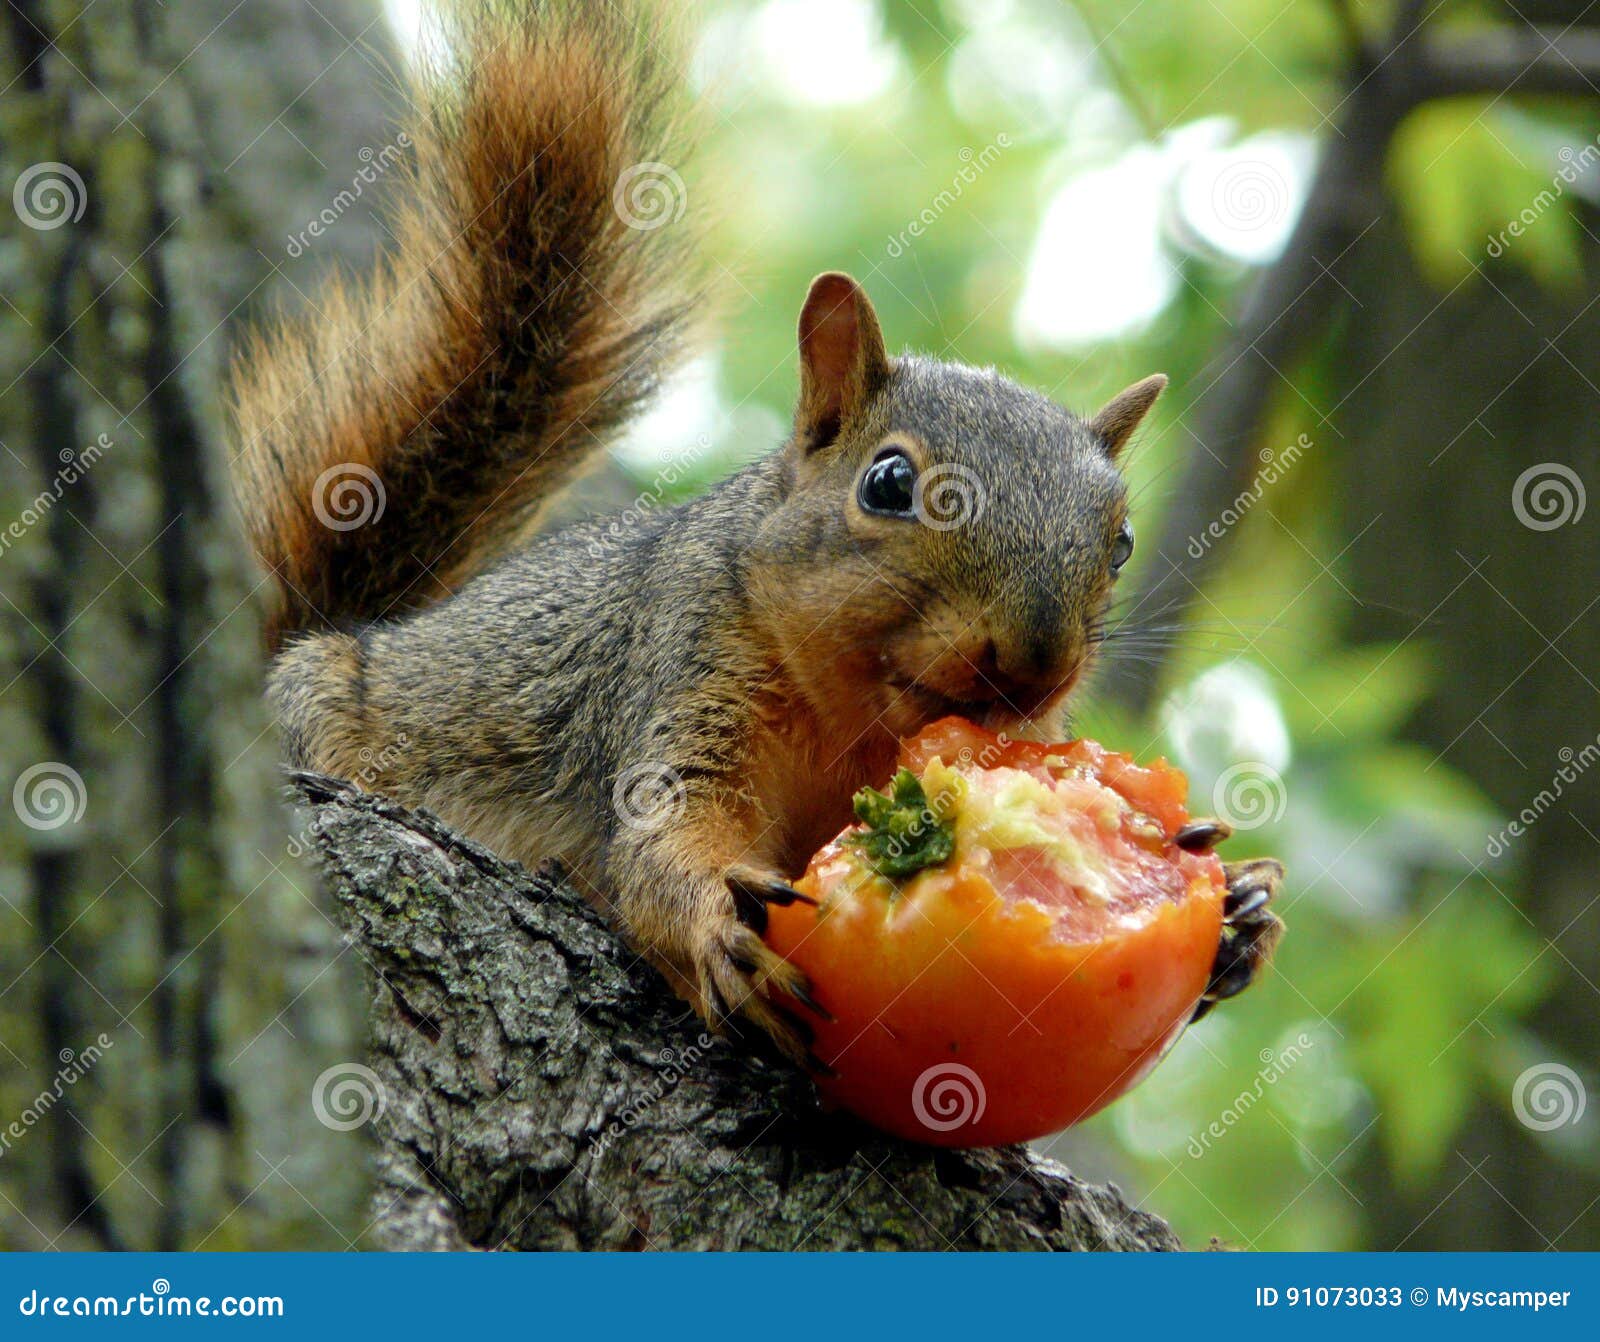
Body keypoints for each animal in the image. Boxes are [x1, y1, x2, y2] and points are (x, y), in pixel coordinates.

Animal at [231, 2, 1283, 1062]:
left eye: (1122, 543)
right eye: (889, 483)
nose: (1035, 663)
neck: (852, 728)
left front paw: (1240, 909)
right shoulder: (683, 668)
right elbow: (664, 822)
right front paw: (716, 920)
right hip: (320, 703)